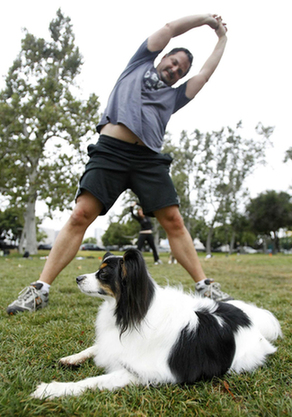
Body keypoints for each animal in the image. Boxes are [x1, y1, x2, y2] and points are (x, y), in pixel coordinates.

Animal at [30, 249, 282, 398]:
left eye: (103, 275)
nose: (78, 278)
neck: (129, 313)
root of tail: (244, 314)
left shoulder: (142, 373)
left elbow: (92, 381)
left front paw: (52, 388)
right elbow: (95, 347)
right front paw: (72, 358)